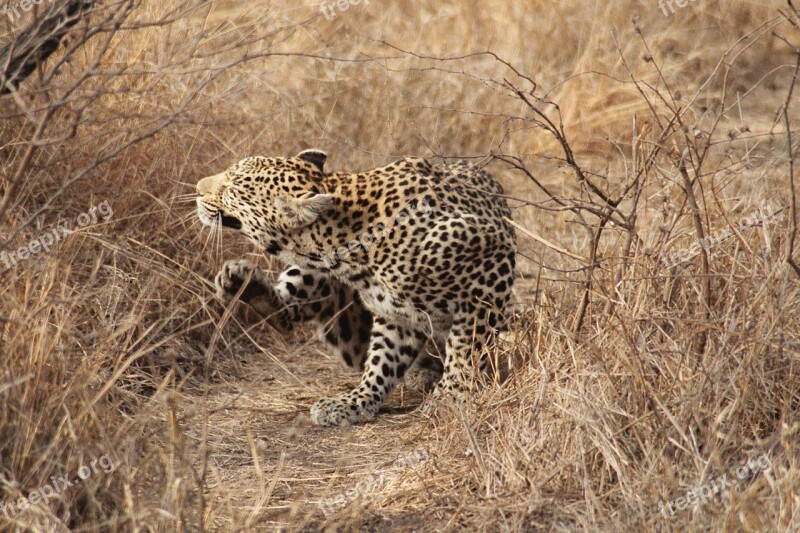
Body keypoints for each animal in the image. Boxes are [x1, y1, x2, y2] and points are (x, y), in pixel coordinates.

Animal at [197, 149, 516, 424]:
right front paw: (358, 401)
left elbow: (466, 348)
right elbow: (383, 359)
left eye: (232, 188)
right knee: (289, 315)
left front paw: (450, 397)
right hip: (324, 296)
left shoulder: (490, 270)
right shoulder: (395, 314)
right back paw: (245, 285)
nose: (198, 188)